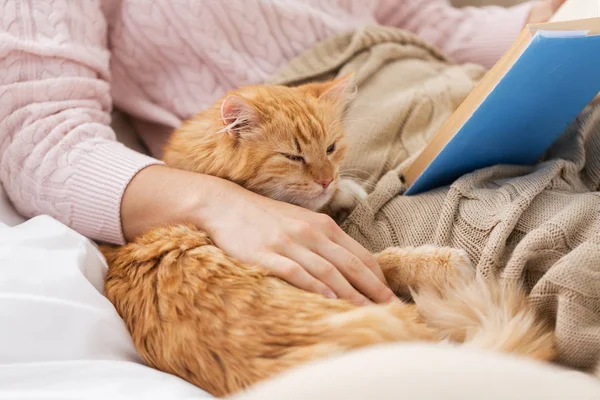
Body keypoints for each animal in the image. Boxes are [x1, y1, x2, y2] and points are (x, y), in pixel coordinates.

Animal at [101, 76, 556, 396]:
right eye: (293, 156)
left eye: (332, 148)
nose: (325, 179)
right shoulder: (344, 260)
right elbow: (383, 259)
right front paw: (443, 260)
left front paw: (343, 190)